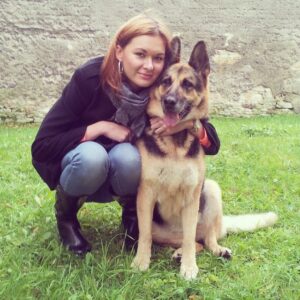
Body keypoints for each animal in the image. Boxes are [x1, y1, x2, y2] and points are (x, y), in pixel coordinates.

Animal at [132, 38, 278, 280]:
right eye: (166, 81)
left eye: (187, 85)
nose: (169, 101)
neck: (175, 142)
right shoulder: (146, 194)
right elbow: (145, 237)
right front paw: (141, 262)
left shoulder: (192, 195)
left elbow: (191, 239)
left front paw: (189, 268)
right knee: (185, 241)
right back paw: (178, 253)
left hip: (211, 189)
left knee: (204, 238)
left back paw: (215, 250)